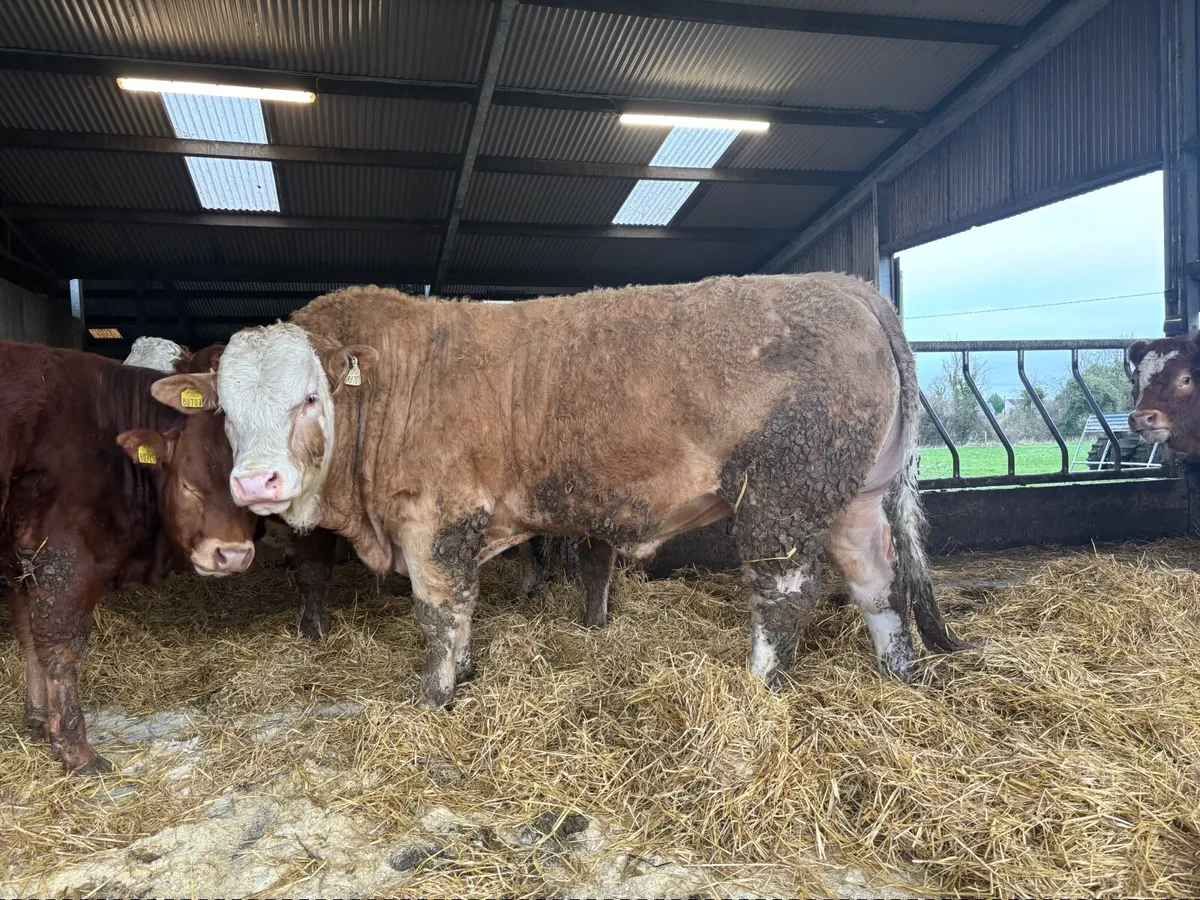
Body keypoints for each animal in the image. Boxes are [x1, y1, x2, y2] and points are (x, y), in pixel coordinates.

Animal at [1, 340, 257, 773]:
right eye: (188, 486)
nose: (234, 555)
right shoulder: (64, 558)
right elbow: (60, 647)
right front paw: (75, 749)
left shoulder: (20, 559)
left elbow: (27, 635)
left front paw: (36, 719)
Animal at [156, 273, 969, 709]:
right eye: (225, 410)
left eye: (308, 398)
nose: (255, 480)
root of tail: (847, 285)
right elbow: (465, 610)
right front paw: (465, 671)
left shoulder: (435, 520)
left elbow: (437, 613)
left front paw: (435, 695)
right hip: (853, 495)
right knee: (877, 580)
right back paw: (898, 673)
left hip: (781, 499)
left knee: (784, 595)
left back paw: (758, 685)